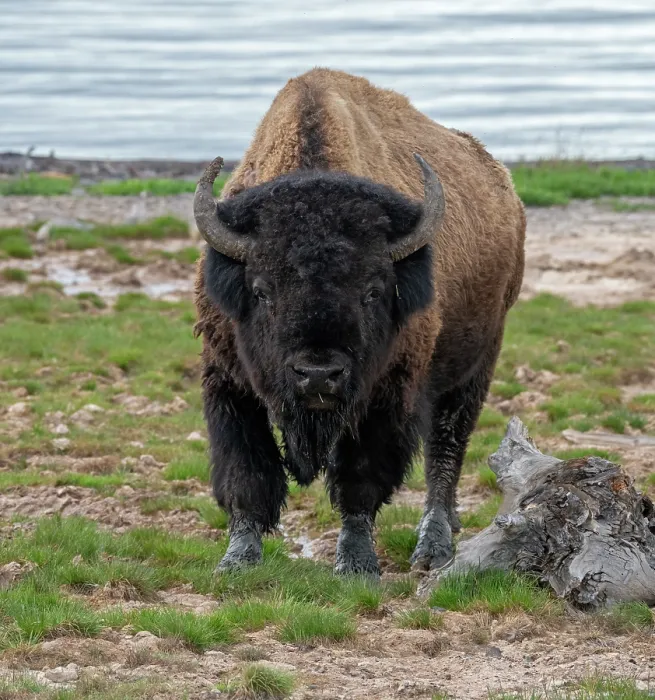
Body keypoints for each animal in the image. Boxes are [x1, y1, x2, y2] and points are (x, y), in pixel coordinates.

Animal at [193, 68, 525, 577]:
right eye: (261, 291)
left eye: (373, 291)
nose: (318, 375)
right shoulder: (229, 385)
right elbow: (246, 474)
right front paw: (237, 560)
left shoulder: (387, 394)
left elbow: (362, 479)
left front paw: (356, 563)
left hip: (476, 365)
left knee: (446, 450)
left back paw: (434, 545)